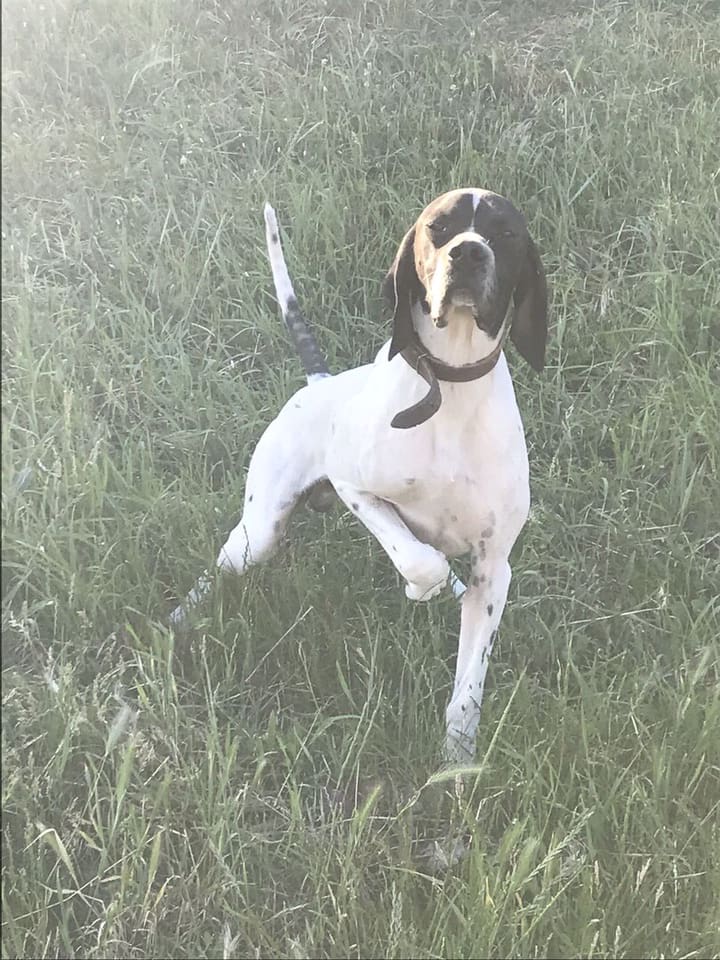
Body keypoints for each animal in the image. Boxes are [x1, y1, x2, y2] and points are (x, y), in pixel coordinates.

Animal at [171, 188, 547, 765]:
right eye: (437, 227)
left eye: (505, 232)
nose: (468, 253)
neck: (450, 392)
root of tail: (319, 381)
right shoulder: (357, 489)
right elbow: (421, 560)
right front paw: (421, 586)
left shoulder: (493, 568)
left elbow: (467, 689)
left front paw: (457, 762)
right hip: (258, 534)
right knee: (219, 570)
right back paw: (177, 623)